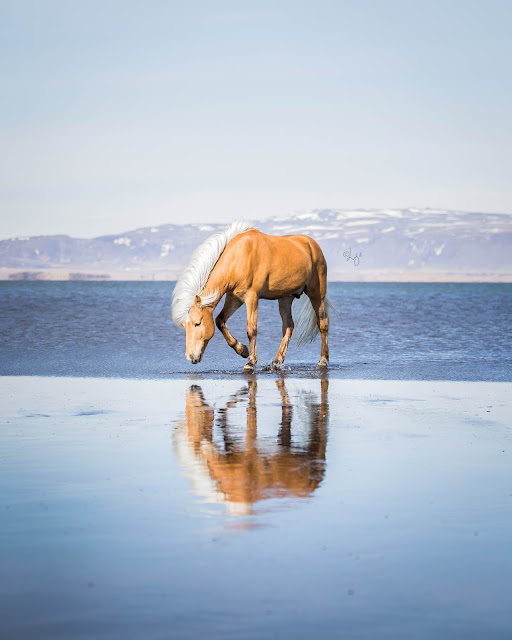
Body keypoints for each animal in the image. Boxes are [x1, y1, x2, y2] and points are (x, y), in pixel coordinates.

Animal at [172, 221, 332, 372]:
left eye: (197, 323)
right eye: (185, 326)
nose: (190, 357)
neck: (238, 258)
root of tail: (311, 244)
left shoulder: (252, 298)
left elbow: (251, 329)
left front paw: (250, 362)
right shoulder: (234, 298)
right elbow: (220, 321)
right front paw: (242, 350)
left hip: (316, 293)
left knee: (322, 323)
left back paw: (323, 361)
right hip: (285, 298)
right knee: (288, 326)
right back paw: (277, 361)